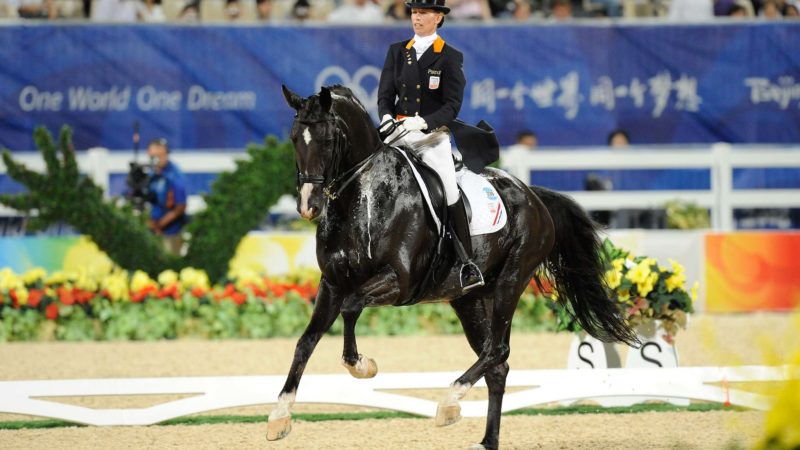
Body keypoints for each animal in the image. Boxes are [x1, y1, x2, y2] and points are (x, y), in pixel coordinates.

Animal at [268, 85, 636, 450]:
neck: (363, 198)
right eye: (294, 138)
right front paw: (279, 417)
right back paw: (485, 440)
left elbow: (351, 306)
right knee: (496, 363)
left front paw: (363, 366)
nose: (309, 205)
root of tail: (532, 194)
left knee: (498, 349)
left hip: (512, 280)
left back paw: (448, 403)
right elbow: (306, 340)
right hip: (469, 299)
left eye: (328, 139)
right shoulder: (332, 283)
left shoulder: (397, 282)